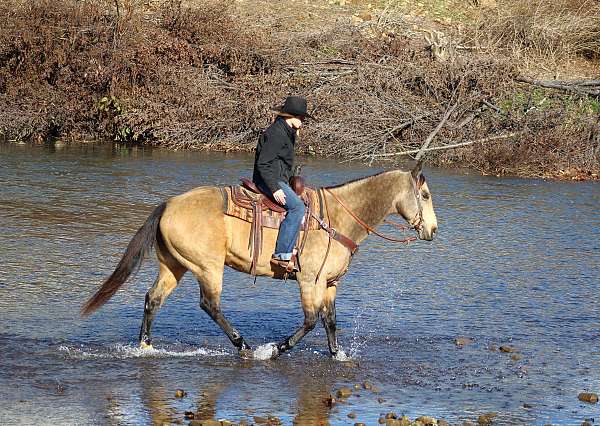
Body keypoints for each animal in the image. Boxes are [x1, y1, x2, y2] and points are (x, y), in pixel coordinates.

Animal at [81, 161, 436, 358]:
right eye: (425, 195)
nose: (432, 230)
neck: (336, 218)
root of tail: (168, 204)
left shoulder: (329, 283)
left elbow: (330, 321)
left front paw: (337, 356)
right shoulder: (308, 280)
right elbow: (310, 321)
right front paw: (275, 350)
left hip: (175, 265)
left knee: (153, 299)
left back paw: (145, 346)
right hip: (208, 267)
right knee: (209, 305)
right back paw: (244, 346)